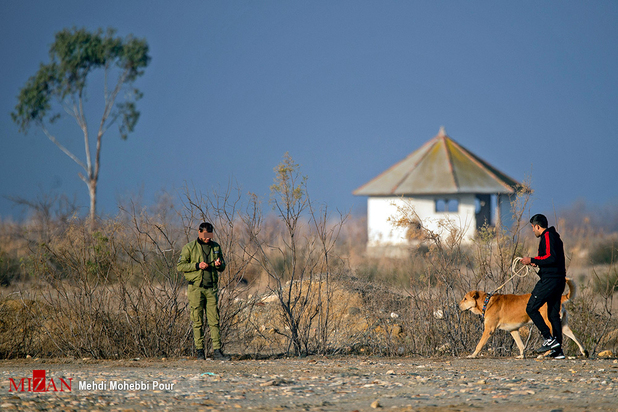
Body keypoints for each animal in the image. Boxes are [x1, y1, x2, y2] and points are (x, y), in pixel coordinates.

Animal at [458, 278, 588, 358]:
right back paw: (584, 352)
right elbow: (520, 345)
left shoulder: (489, 330)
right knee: (576, 337)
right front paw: (521, 356)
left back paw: (544, 354)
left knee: (554, 340)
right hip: (563, 326)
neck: (486, 302)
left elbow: (479, 344)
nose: (457, 305)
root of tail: (559, 298)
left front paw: (472, 355)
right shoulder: (513, 330)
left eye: (465, 299)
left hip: (548, 323)